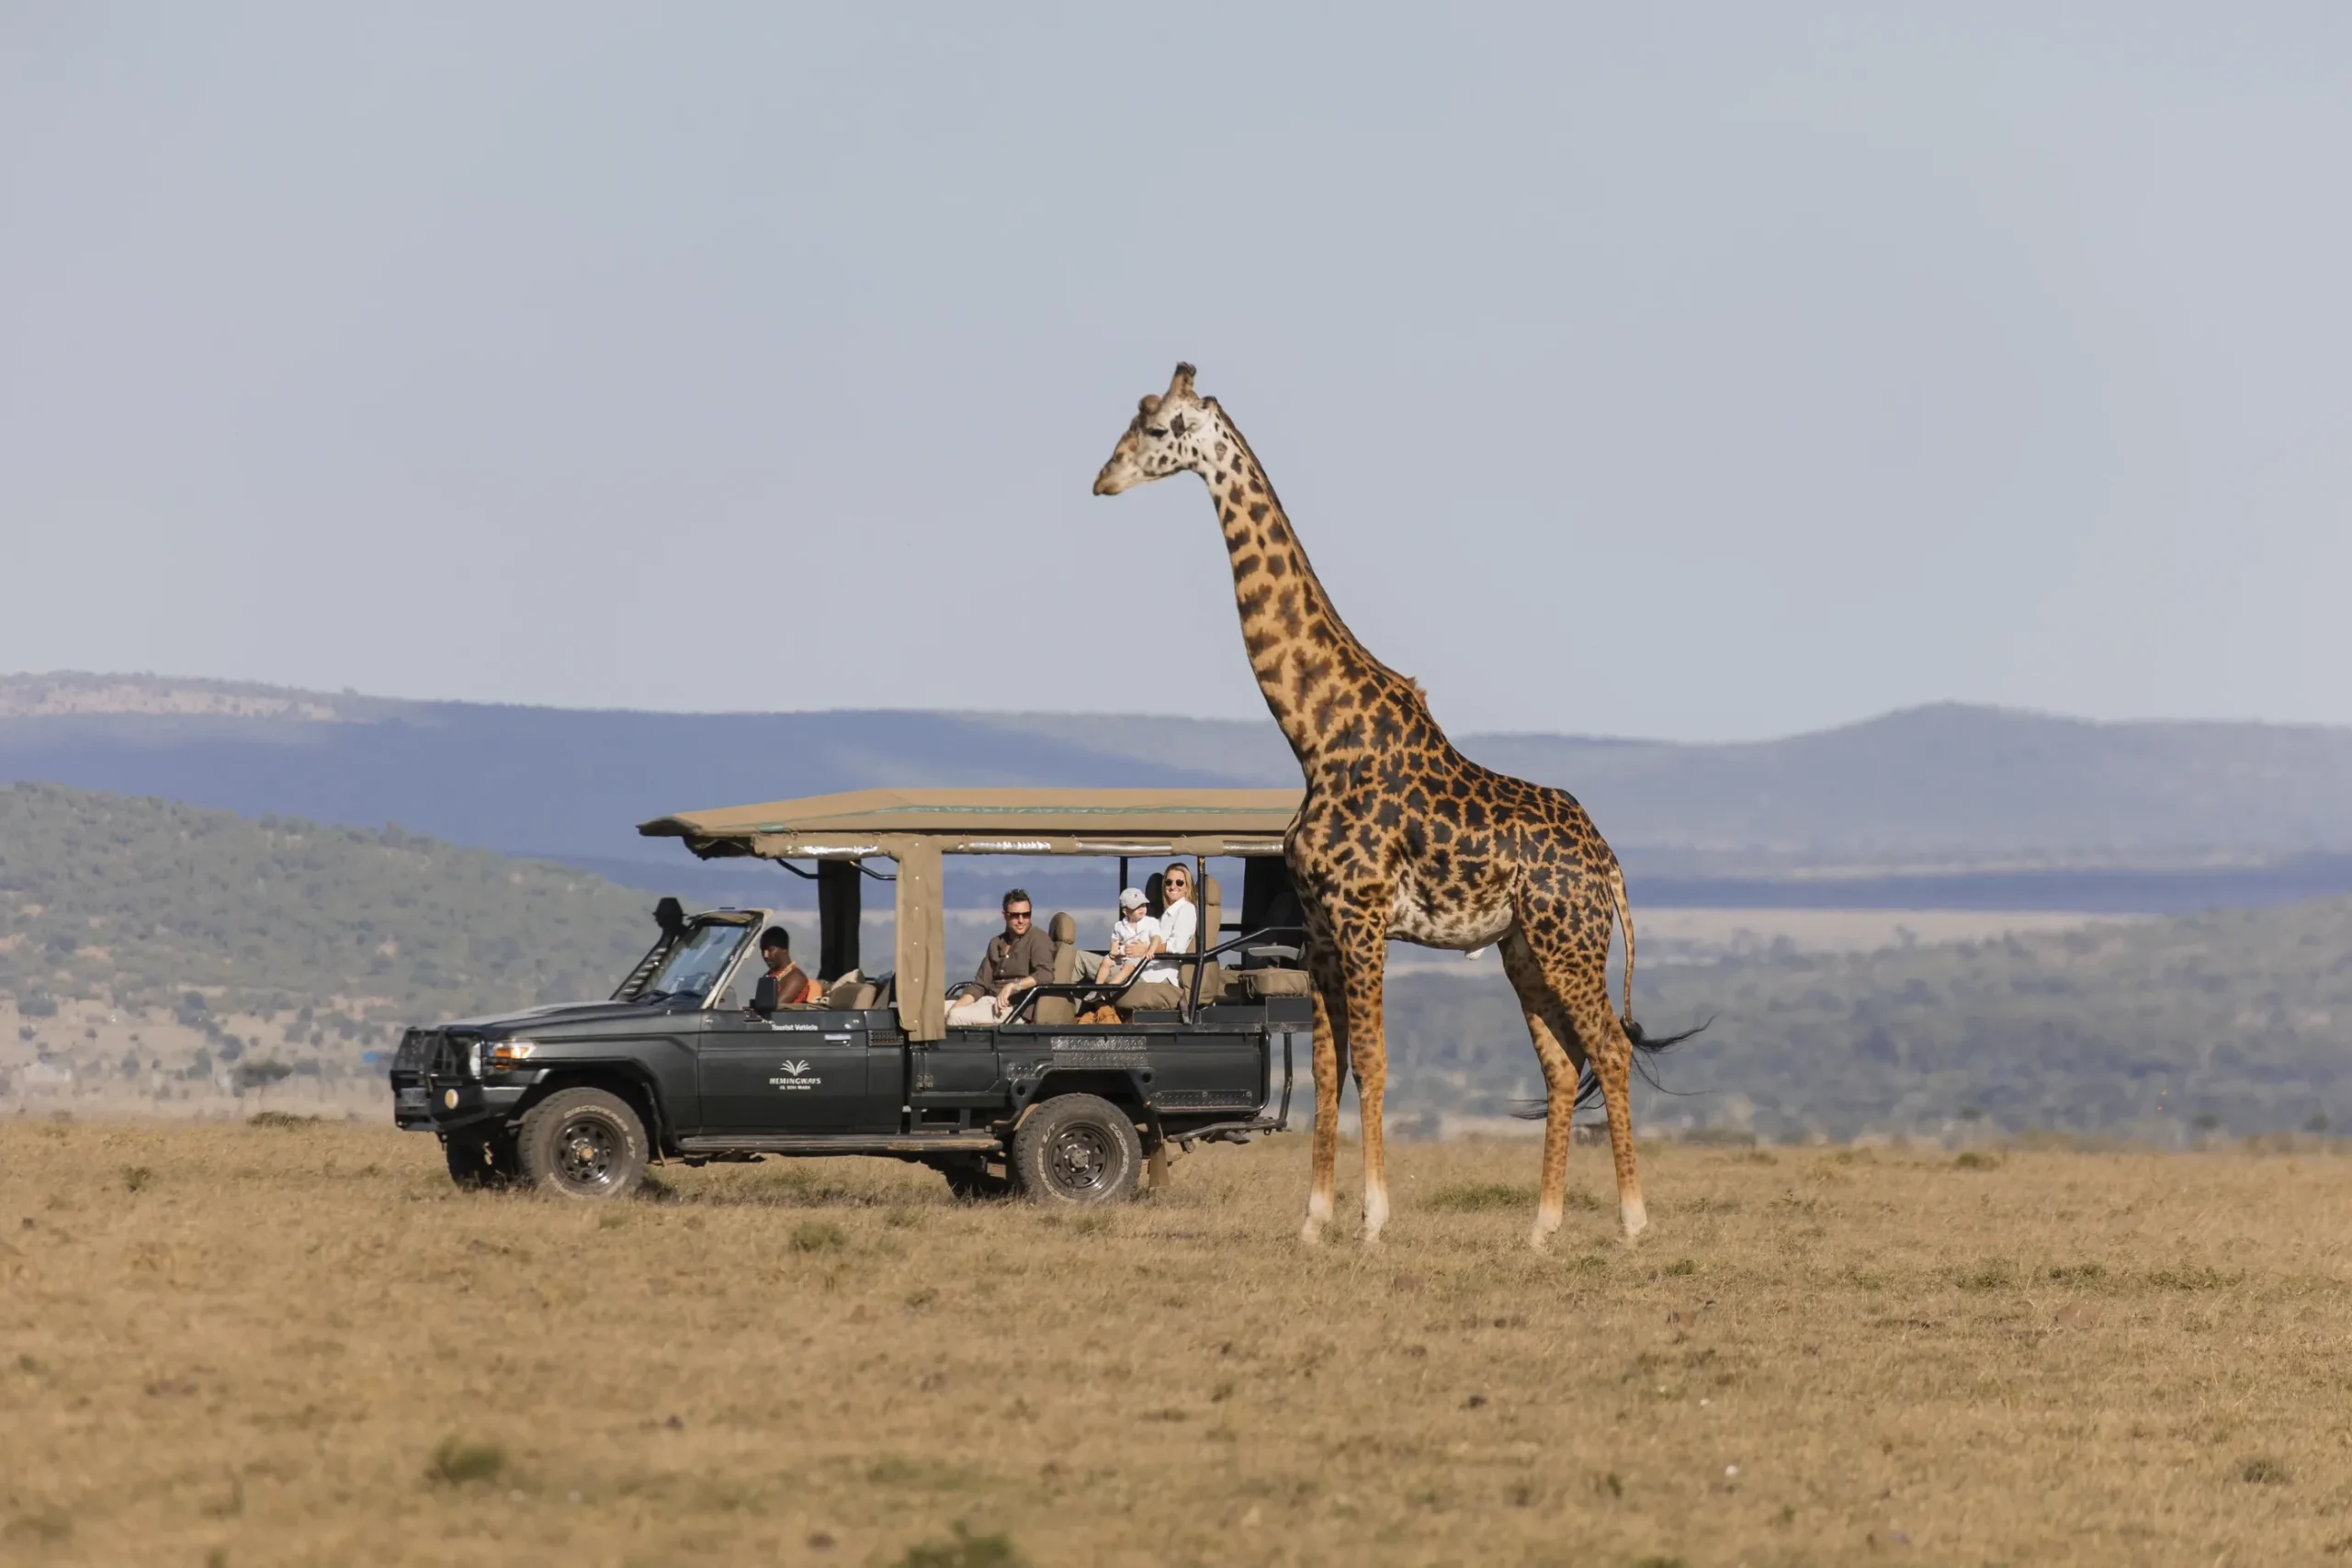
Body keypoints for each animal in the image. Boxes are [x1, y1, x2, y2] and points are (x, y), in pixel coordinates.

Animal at [1092, 363, 1695, 1247]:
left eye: (1163, 427)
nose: (1103, 479)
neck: (1315, 733)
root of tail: (1609, 864)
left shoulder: (1364, 912)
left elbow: (1372, 1060)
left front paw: (1373, 1219)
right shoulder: (1320, 923)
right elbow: (1329, 1065)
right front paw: (1314, 1221)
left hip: (1569, 941)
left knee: (1610, 1052)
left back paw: (1632, 1222)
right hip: (1523, 949)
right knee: (1563, 1063)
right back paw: (1540, 1229)